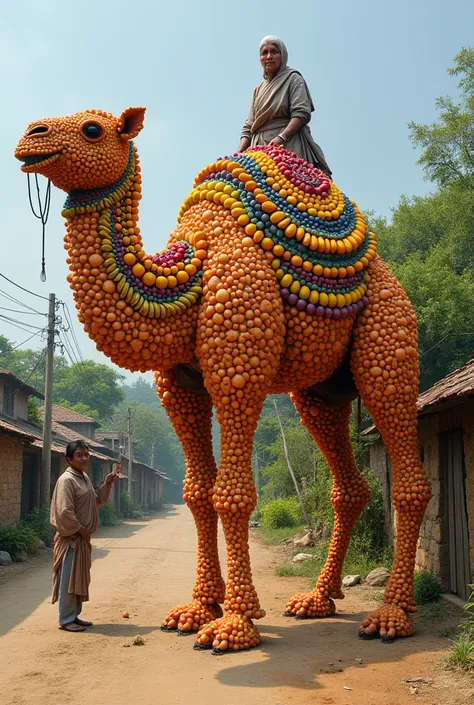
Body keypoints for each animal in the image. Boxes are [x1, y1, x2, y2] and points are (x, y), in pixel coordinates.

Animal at [14, 107, 432, 652]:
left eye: (92, 128)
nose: (30, 135)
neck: (186, 280)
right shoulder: (179, 386)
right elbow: (196, 493)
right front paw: (197, 610)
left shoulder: (240, 365)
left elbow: (233, 494)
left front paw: (235, 623)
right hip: (319, 390)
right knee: (349, 485)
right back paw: (317, 600)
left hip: (389, 328)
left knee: (406, 469)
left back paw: (392, 615)